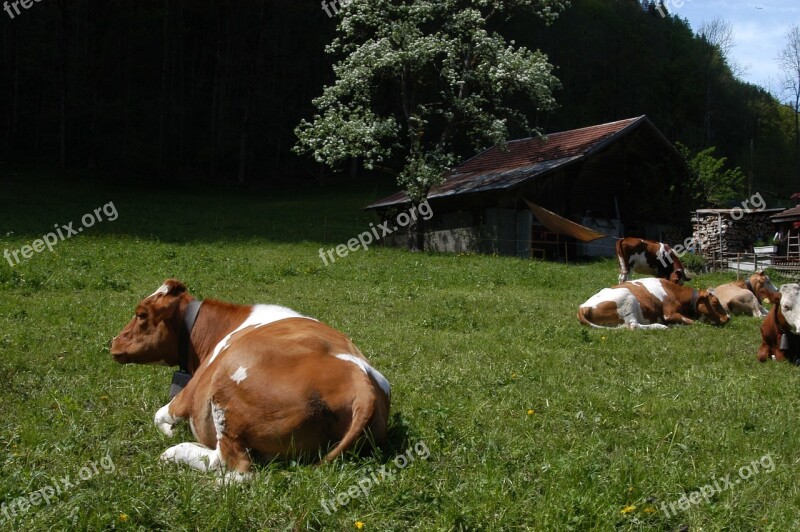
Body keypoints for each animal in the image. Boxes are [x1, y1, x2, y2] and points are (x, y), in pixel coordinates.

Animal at [109, 280, 390, 480]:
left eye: (141, 314)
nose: (112, 342)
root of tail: (361, 382)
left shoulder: (185, 397)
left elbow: (158, 415)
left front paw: (170, 432)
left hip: (225, 390)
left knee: (233, 467)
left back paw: (176, 453)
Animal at [580, 278, 728, 328]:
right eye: (715, 302)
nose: (728, 318)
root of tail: (582, 307)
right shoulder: (669, 313)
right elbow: (692, 321)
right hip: (627, 298)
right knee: (633, 326)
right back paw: (660, 326)